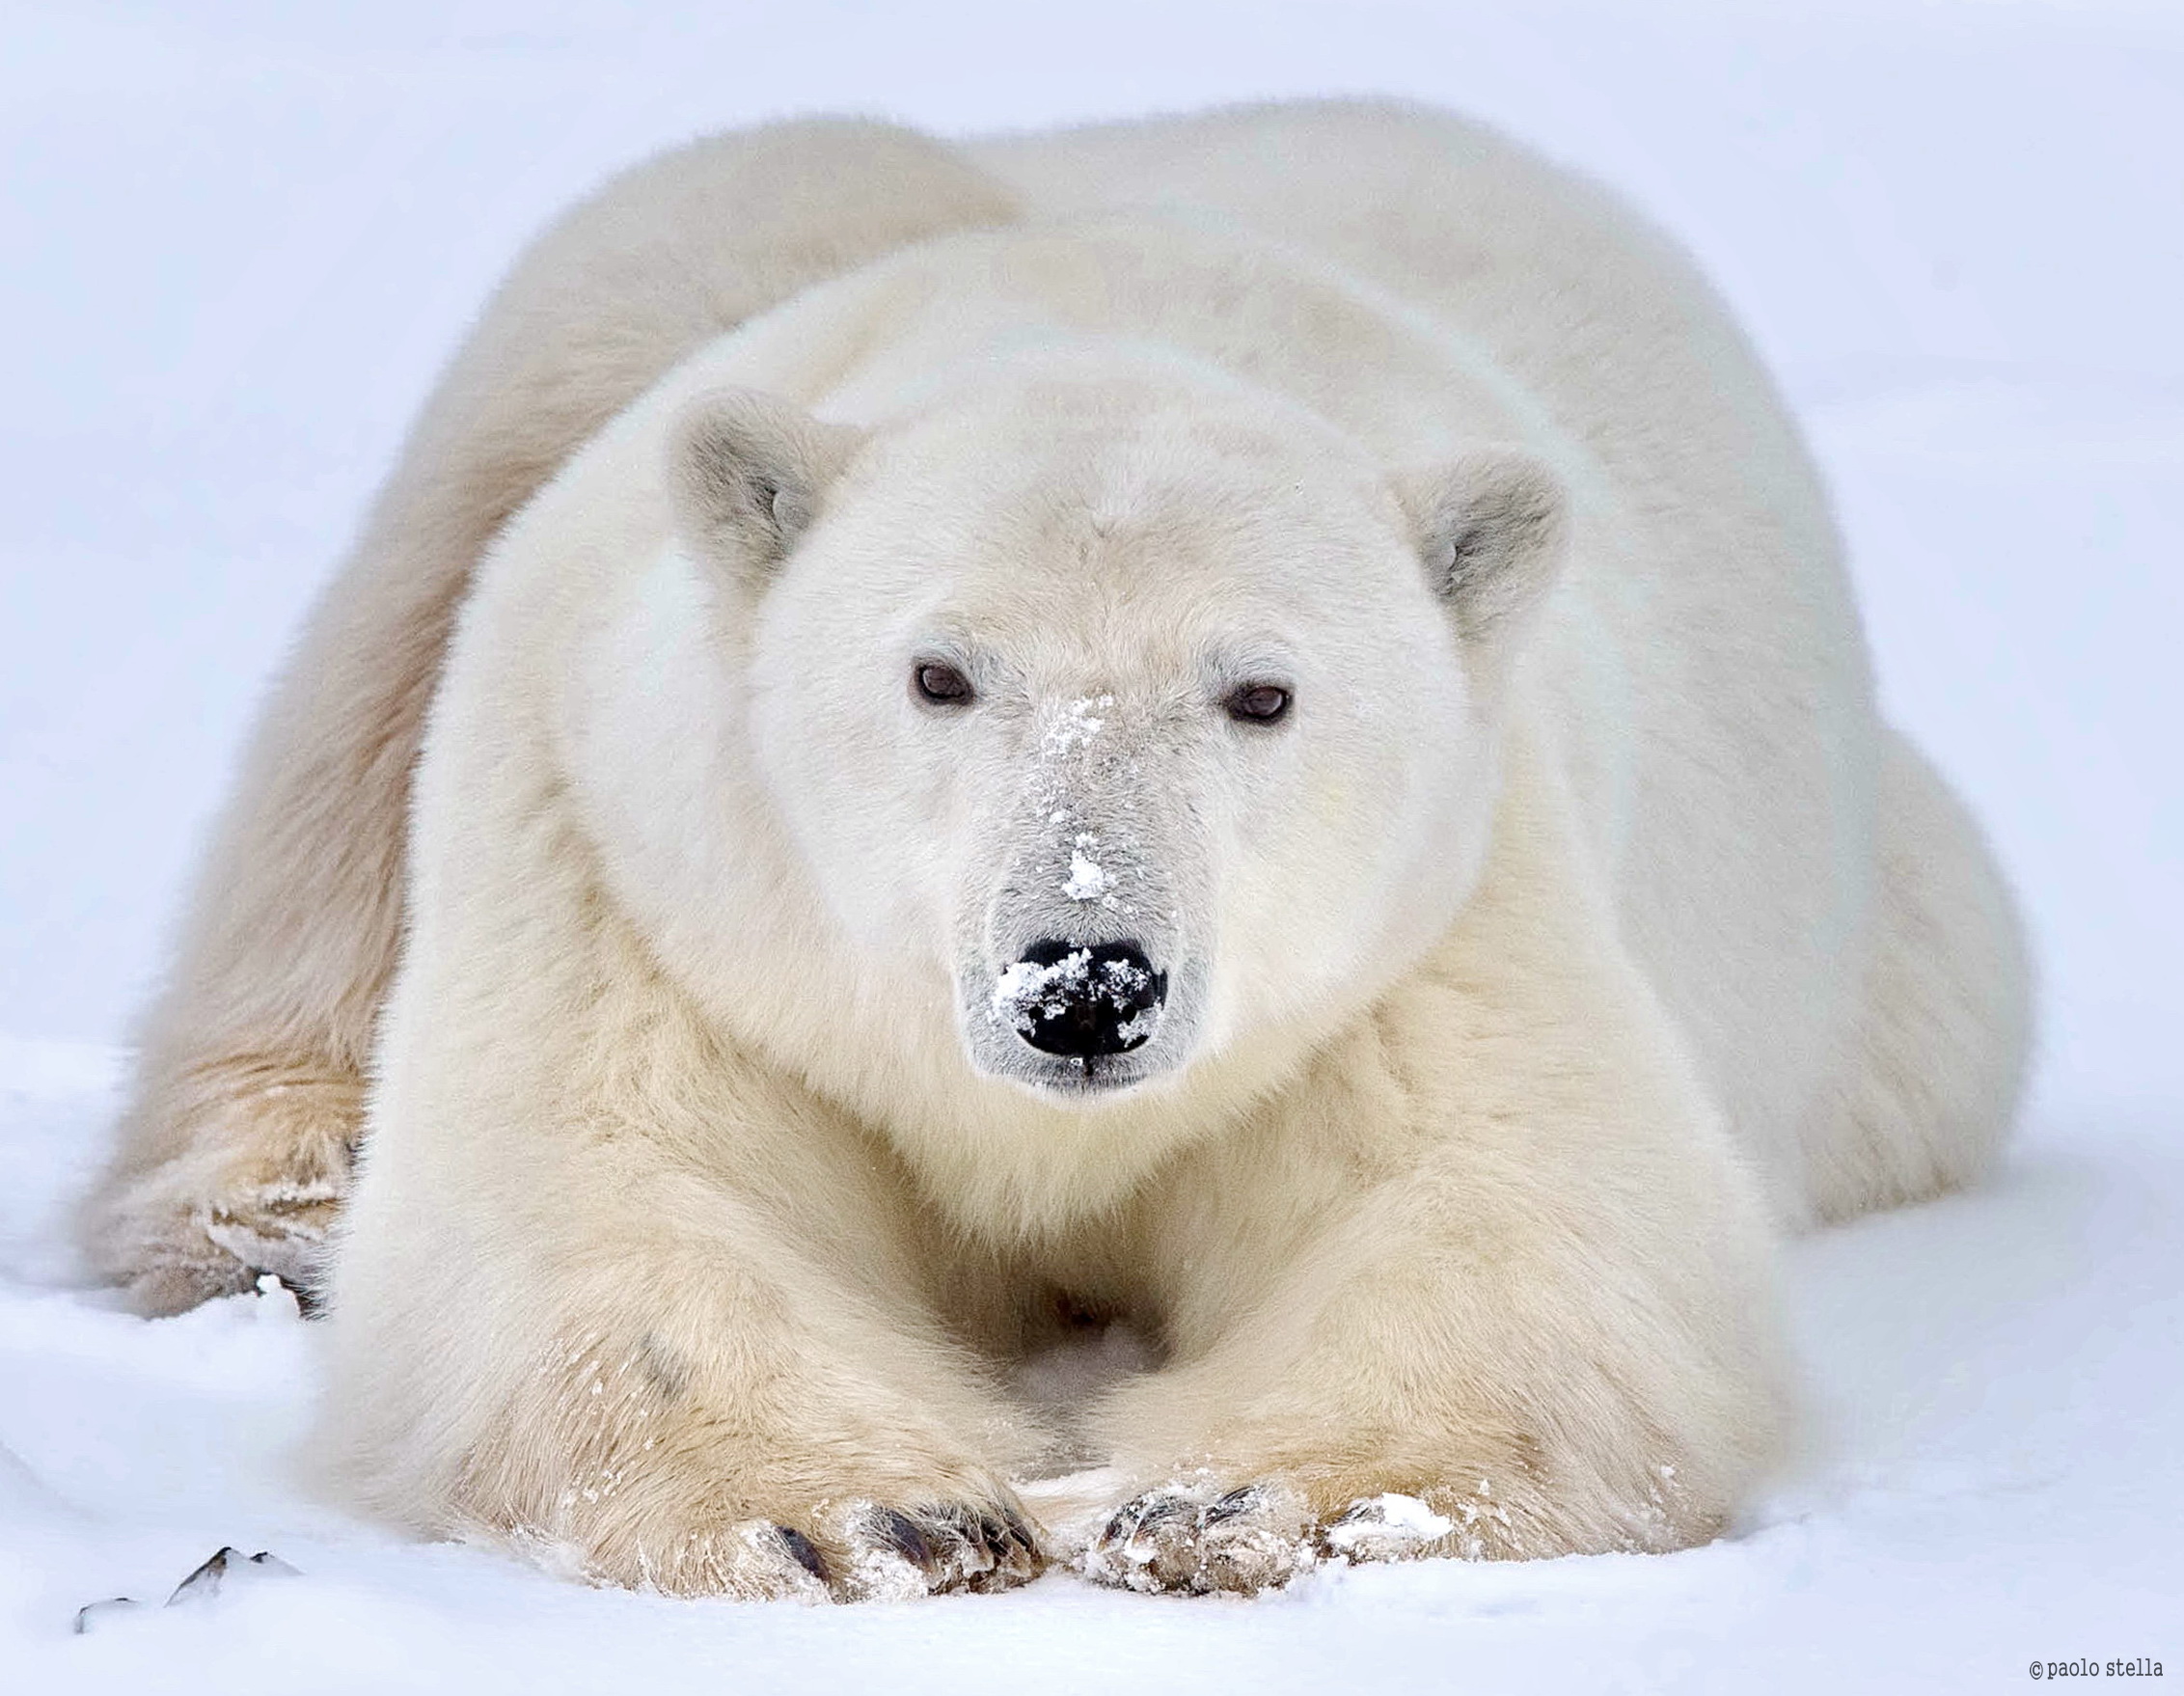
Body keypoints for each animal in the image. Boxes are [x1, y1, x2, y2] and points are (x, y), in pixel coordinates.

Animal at [81, 101, 2031, 1599]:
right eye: (940, 671)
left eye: (1259, 691)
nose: (1084, 981)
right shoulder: (639, 858)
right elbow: (602, 1193)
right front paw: (882, 1511)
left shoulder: (1432, 923)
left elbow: (1519, 1223)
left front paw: (1216, 1497)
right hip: (637, 289)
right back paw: (272, 1208)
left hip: (1900, 971)